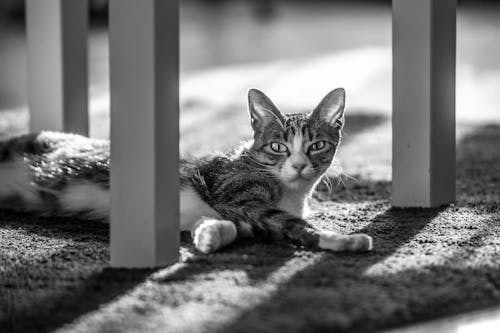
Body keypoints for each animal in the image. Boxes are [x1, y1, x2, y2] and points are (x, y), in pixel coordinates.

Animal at [0, 87, 372, 252]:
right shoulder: (232, 193)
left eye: (317, 146)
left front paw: (208, 236)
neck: (292, 193)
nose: (298, 165)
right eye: (278, 147)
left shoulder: (234, 213)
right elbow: (289, 222)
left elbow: (225, 225)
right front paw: (343, 239)